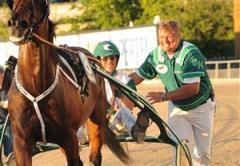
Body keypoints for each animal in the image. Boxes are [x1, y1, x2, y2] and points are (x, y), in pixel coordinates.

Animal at [5, 0, 129, 165]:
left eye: (40, 3)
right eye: (13, 3)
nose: (17, 24)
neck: (35, 86)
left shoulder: (69, 138)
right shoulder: (21, 141)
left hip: (96, 120)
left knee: (95, 156)